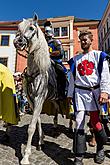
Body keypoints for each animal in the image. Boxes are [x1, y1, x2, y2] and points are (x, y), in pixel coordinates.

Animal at [13, 14, 68, 165]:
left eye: (32, 28)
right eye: (19, 28)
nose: (17, 42)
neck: (35, 71)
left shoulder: (39, 99)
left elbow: (31, 127)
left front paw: (25, 156)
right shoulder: (33, 101)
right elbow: (36, 121)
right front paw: (41, 141)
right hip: (54, 99)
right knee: (56, 109)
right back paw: (55, 127)